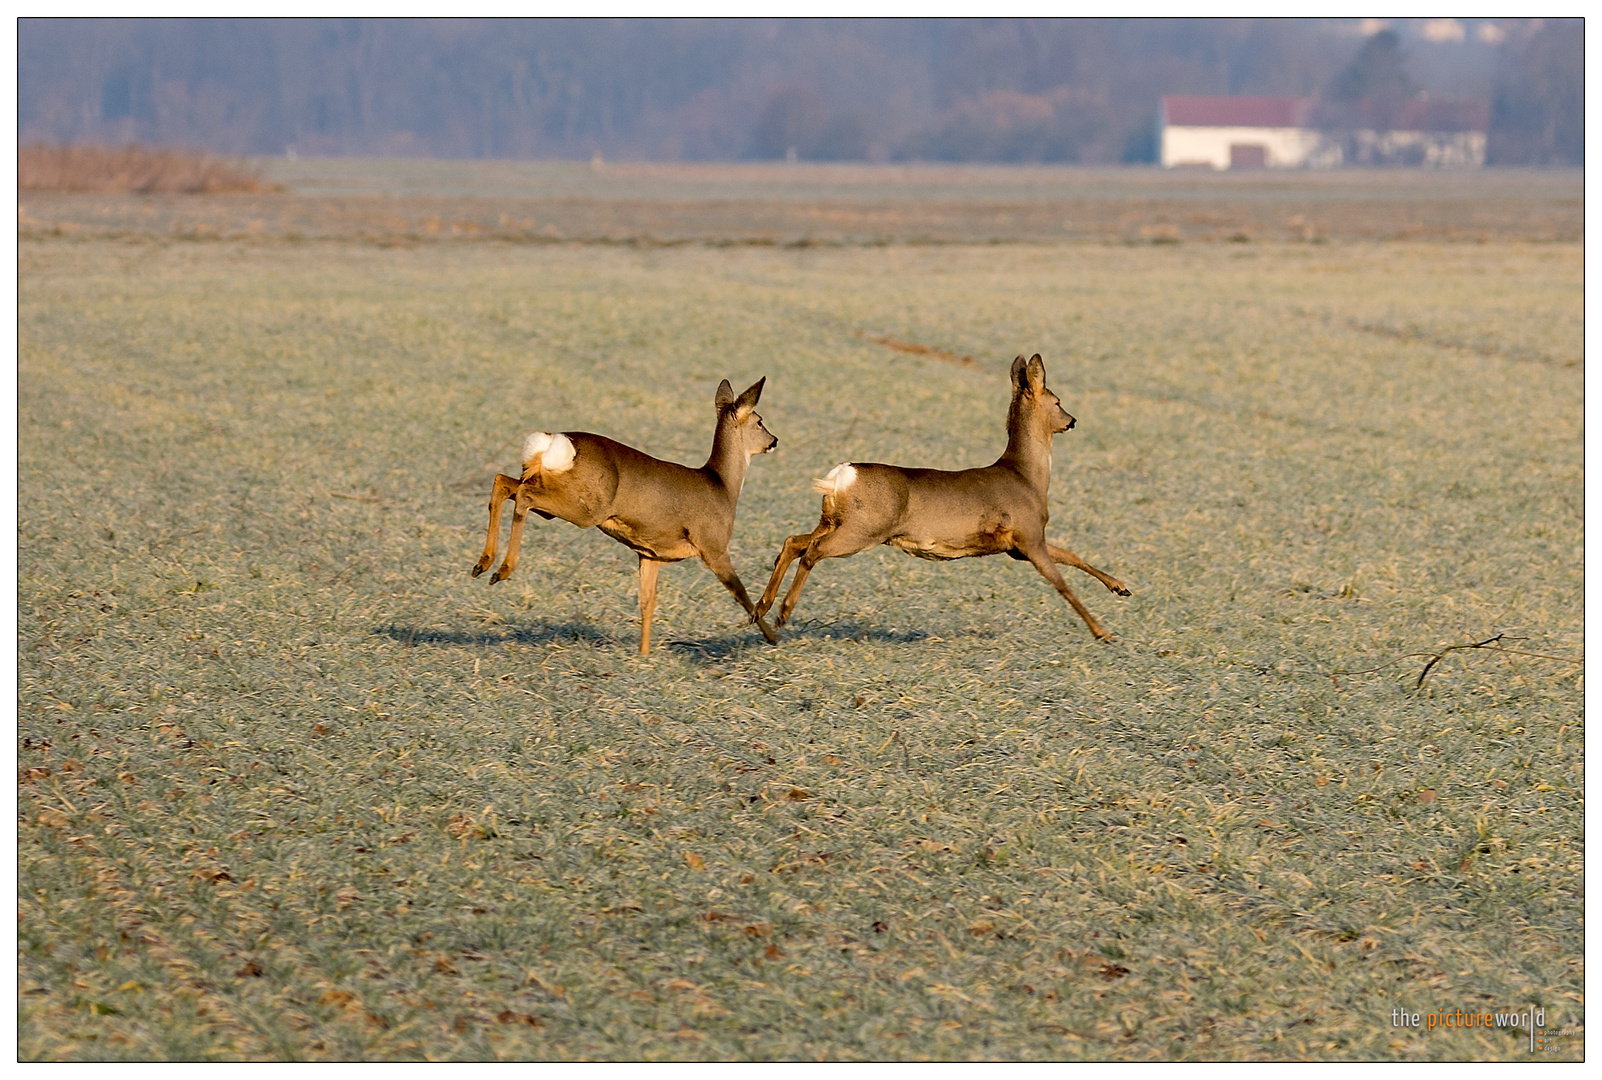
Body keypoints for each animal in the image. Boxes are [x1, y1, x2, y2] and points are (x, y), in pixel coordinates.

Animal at [470, 374, 778, 650]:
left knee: (502, 482)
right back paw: (502, 570)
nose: (774, 440)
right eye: (760, 421)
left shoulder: (650, 554)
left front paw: (644, 656)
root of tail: (556, 442)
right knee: (523, 496)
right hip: (585, 509)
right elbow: (742, 594)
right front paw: (773, 636)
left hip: (549, 489)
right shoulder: (714, 546)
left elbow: (647, 603)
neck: (722, 486)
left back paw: (482, 565)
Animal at [759, 352, 1127, 640]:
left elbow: (1072, 556)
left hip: (833, 521)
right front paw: (1103, 632)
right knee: (813, 552)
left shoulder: (1019, 545)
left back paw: (762, 608)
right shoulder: (1029, 535)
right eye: (1058, 401)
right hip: (864, 529)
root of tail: (840, 476)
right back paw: (782, 613)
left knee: (793, 542)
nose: (1073, 420)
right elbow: (1062, 583)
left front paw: (1120, 587)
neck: (1026, 477)